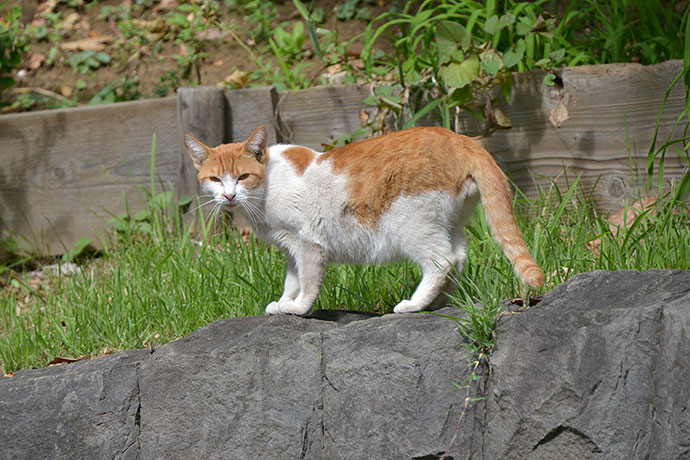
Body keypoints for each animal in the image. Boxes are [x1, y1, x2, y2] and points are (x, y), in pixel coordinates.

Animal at [184, 125, 544, 316]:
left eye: (243, 177)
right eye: (215, 179)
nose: (229, 195)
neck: (267, 186)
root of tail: (460, 138)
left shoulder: (308, 245)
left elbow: (308, 283)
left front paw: (297, 308)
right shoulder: (290, 249)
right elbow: (292, 280)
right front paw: (284, 303)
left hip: (412, 224)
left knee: (443, 261)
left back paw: (413, 305)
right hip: (448, 223)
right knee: (458, 257)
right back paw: (437, 302)